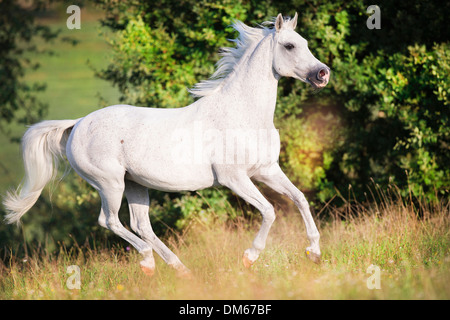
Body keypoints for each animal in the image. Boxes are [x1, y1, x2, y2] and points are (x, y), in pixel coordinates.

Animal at [3, 13, 330, 276]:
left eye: (305, 43)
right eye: (289, 46)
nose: (322, 74)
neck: (242, 113)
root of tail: (78, 123)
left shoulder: (266, 170)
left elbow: (300, 198)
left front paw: (314, 253)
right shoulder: (234, 178)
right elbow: (270, 211)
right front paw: (249, 258)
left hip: (135, 184)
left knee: (140, 225)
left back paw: (180, 270)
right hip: (109, 183)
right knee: (109, 221)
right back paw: (148, 262)